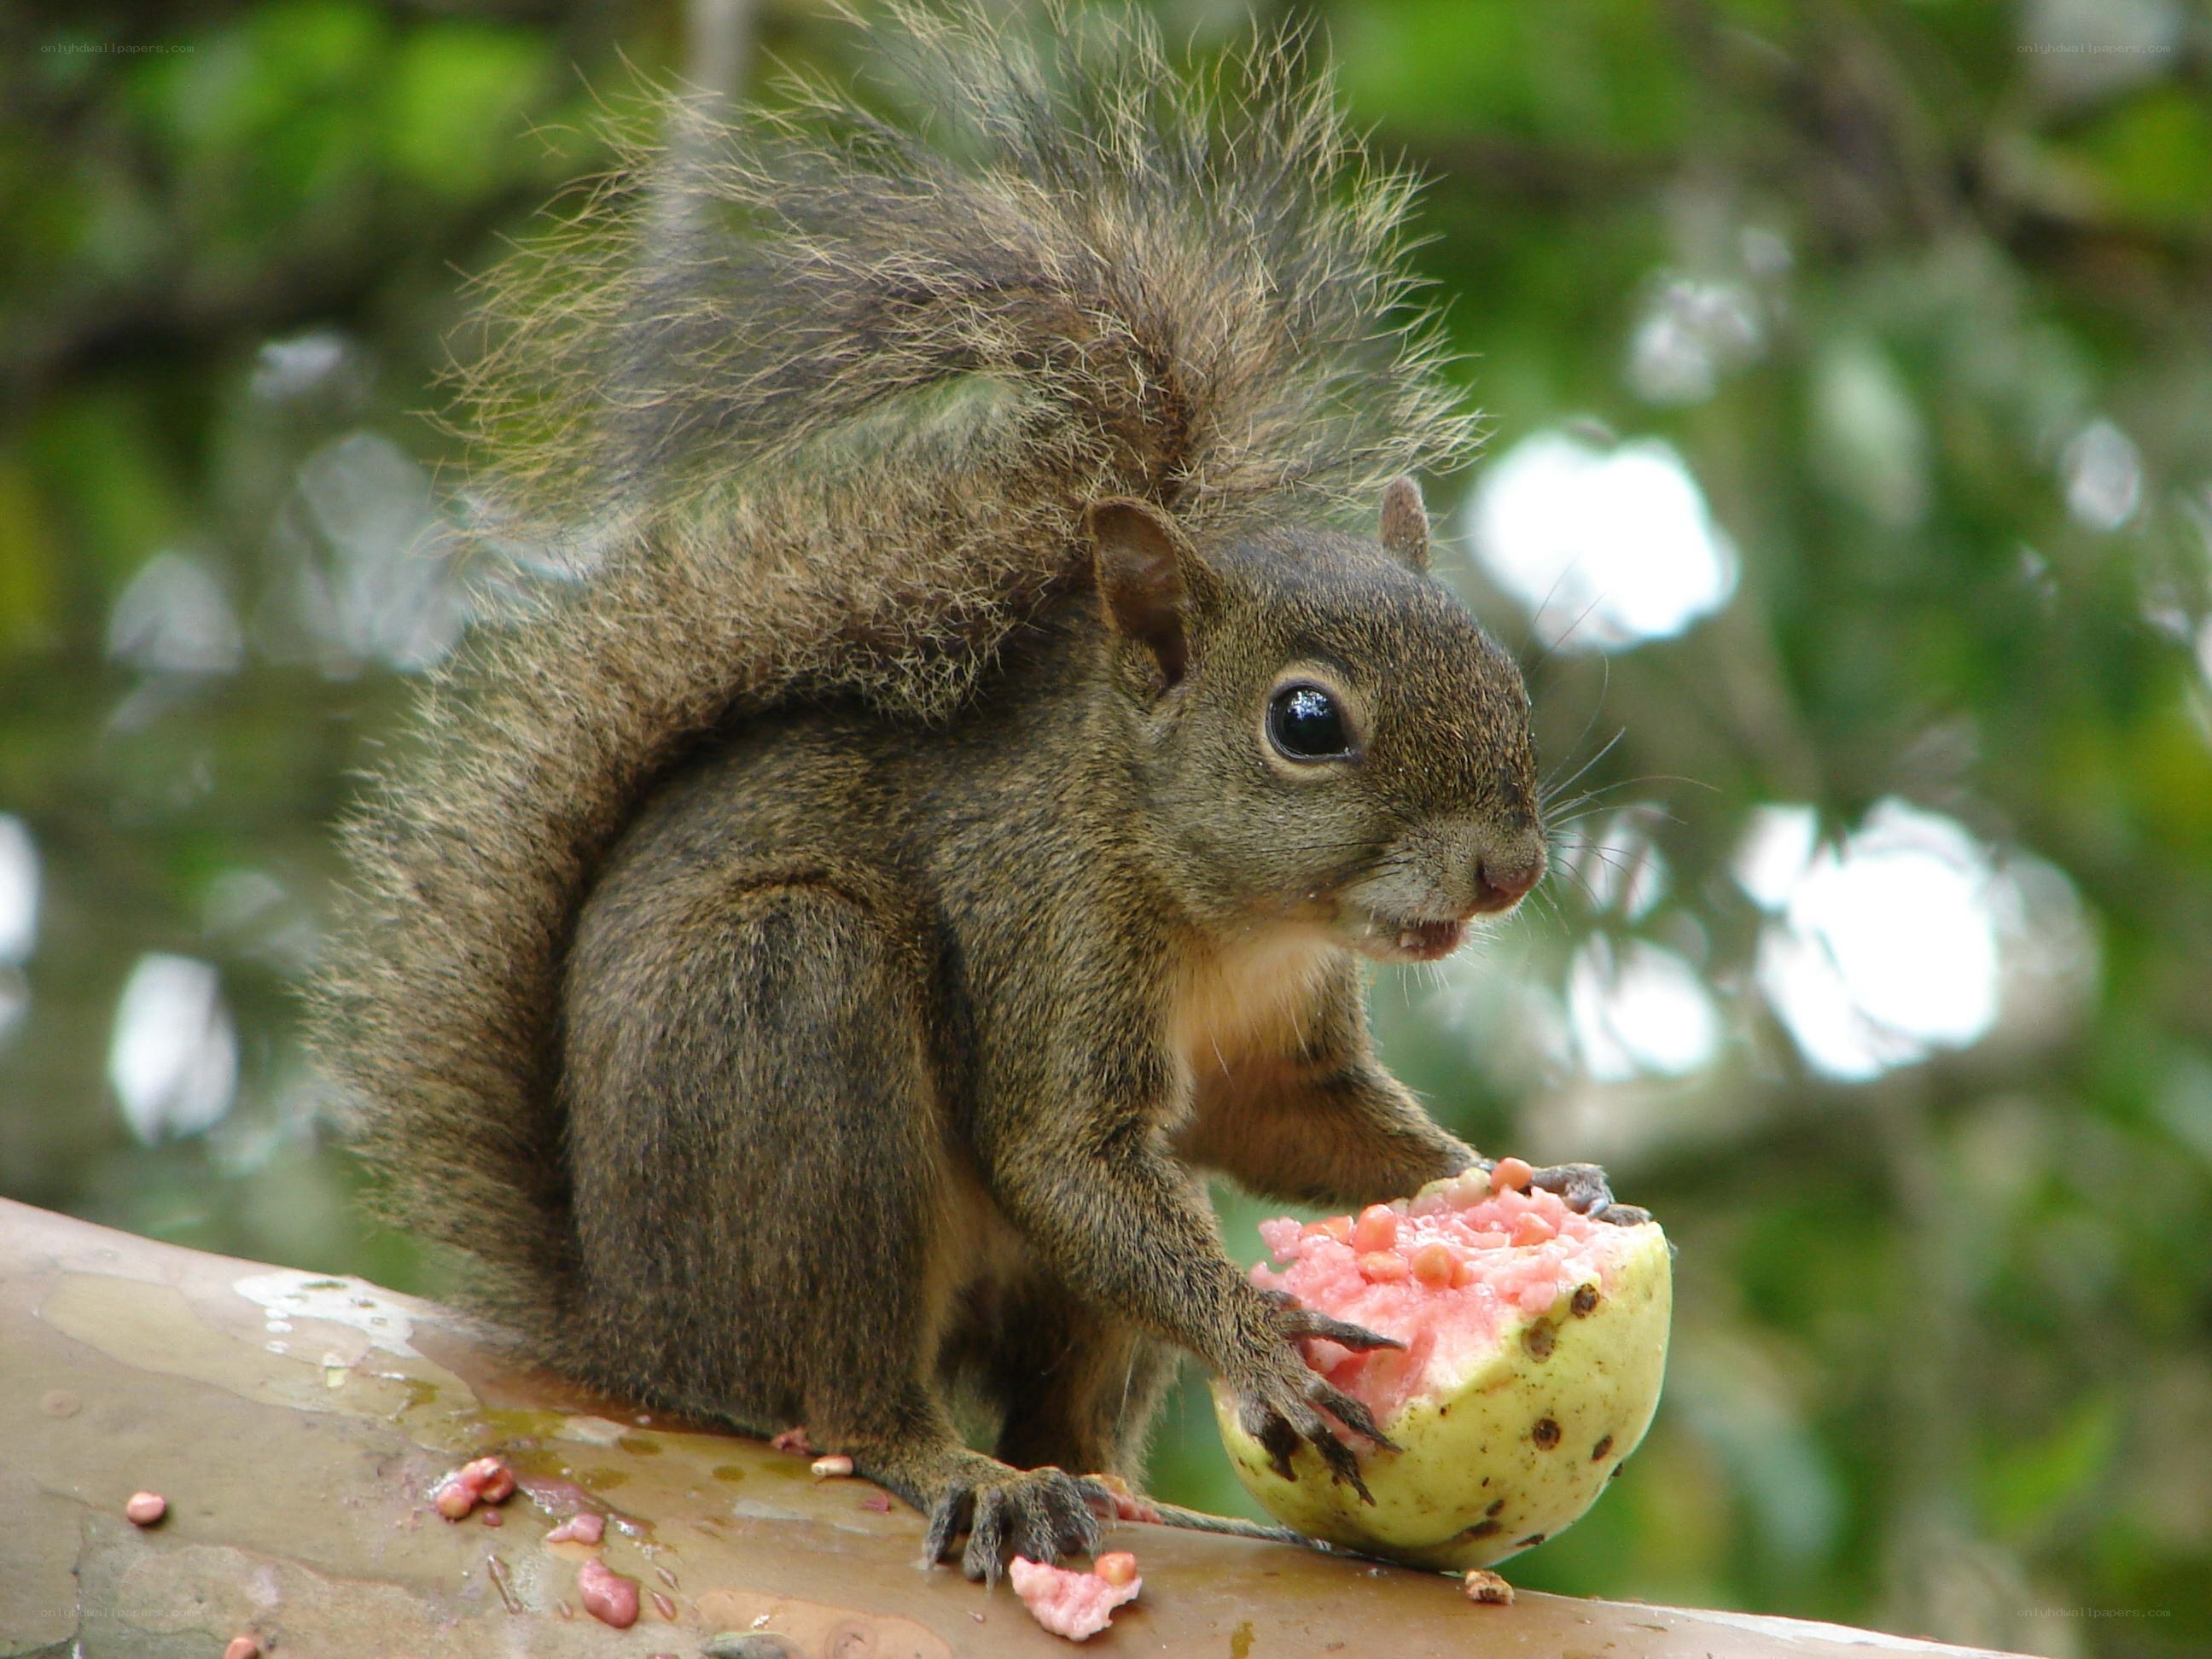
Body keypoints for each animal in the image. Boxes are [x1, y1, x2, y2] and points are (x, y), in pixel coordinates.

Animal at [309, 3, 1639, 1581]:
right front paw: (1262, 1330)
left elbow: (1301, 1126)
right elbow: (1059, 1160)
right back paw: (956, 1467)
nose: (1509, 869)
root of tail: (626, 1325)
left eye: (1498, 668)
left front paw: (1530, 1187)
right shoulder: (1044, 932)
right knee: (842, 1395)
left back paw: (1118, 1487)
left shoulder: (1279, 1054)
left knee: (1066, 1401)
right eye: (1307, 721)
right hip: (792, 1032)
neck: (1231, 912)